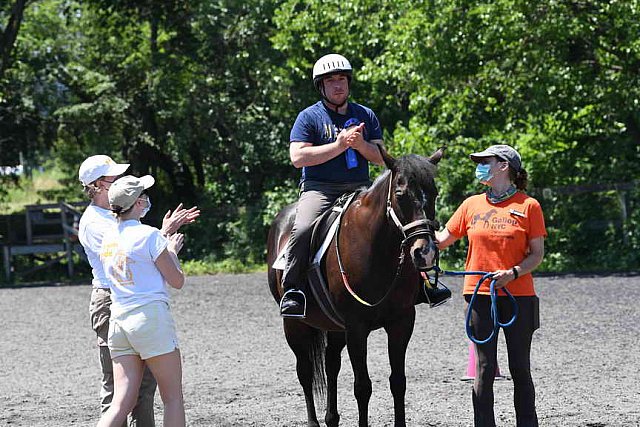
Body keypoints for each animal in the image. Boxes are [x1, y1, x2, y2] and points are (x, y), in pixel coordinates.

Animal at [268, 145, 442, 426]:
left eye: (434, 192)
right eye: (400, 194)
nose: (424, 253)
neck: (378, 250)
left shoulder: (401, 322)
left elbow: (398, 382)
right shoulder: (356, 327)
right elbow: (363, 387)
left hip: (334, 326)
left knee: (331, 364)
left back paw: (331, 418)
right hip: (295, 325)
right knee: (305, 371)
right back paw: (314, 421)